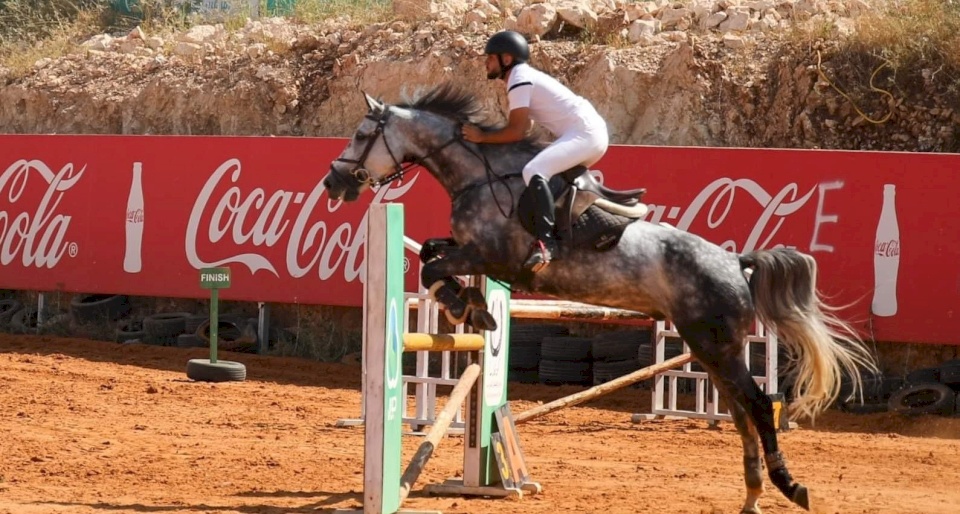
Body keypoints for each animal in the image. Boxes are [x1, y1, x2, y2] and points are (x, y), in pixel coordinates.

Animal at [322, 82, 876, 510]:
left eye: (361, 134)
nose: (332, 182)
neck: (479, 175)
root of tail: (737, 262)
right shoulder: (474, 254)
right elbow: (434, 253)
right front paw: (474, 309)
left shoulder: (493, 257)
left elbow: (435, 262)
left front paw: (466, 307)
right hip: (709, 348)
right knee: (741, 412)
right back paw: (752, 495)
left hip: (716, 345)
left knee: (759, 406)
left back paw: (789, 487)